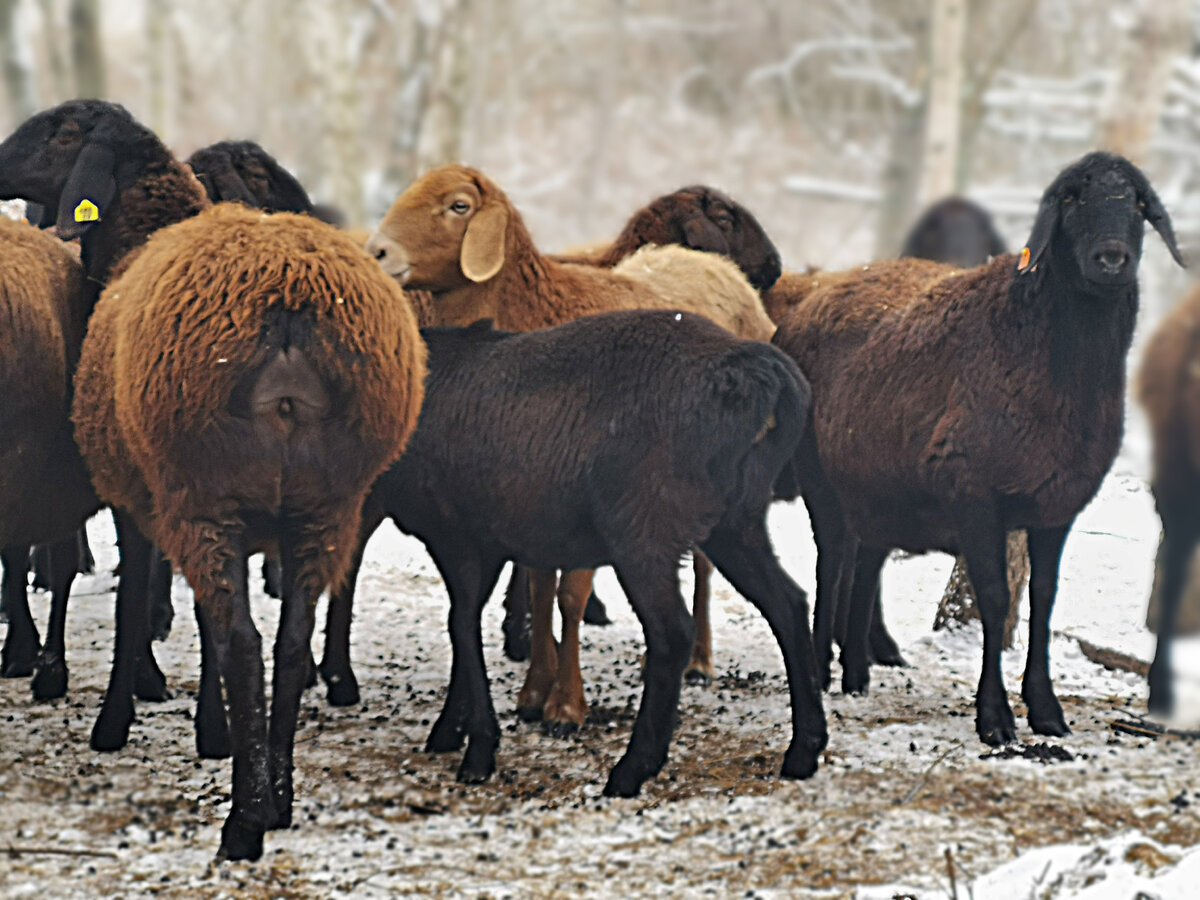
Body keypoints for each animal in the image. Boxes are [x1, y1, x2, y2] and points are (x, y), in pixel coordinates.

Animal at [0, 102, 427, 864]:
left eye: (62, 131)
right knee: (289, 643)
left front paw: (119, 721)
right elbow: (201, 623)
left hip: (205, 492)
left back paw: (245, 823)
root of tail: (289, 305)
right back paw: (279, 798)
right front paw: (215, 730)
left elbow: (138, 608)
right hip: (327, 503)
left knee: (247, 644)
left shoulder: (142, 503)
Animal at [772, 153, 1185, 748]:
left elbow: (1042, 603)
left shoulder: (1057, 505)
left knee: (866, 560)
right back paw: (824, 673)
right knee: (832, 563)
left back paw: (856, 674)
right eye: (1071, 199)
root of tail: (812, 298)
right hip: (821, 478)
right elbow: (994, 600)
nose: (1112, 258)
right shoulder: (972, 491)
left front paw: (1046, 710)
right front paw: (995, 718)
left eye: (1136, 203)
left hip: (877, 484)